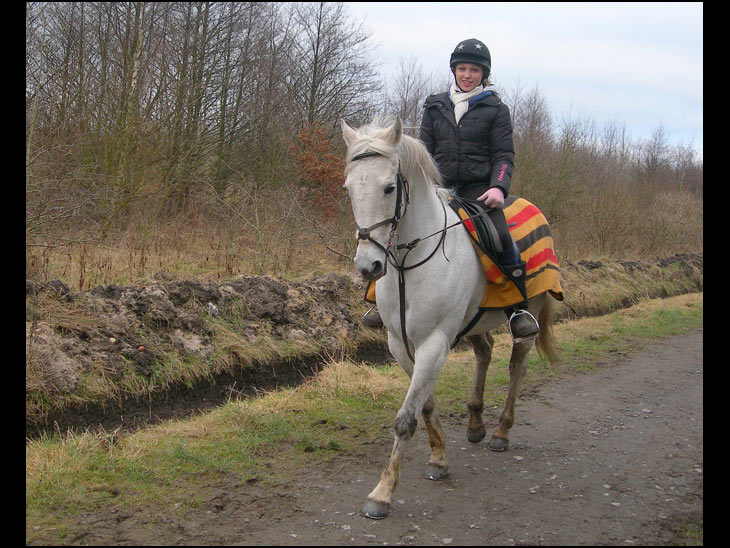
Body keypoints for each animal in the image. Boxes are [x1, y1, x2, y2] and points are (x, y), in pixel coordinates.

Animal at [340, 115, 556, 520]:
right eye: (348, 188)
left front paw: (382, 493)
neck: (409, 260)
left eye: (389, 187)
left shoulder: (434, 342)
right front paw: (438, 458)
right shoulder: (401, 344)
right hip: (474, 322)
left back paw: (501, 432)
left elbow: (405, 418)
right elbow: (423, 404)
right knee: (484, 351)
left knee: (516, 366)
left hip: (530, 314)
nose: (368, 266)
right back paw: (476, 424)